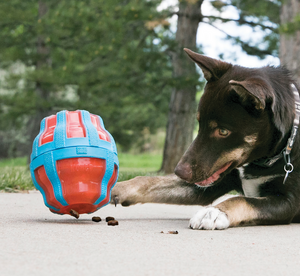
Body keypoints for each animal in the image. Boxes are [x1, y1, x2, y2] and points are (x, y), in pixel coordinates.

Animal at [110, 48, 300, 230]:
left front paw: (214, 212)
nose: (180, 172)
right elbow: (147, 180)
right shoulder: (213, 182)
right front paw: (113, 188)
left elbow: (241, 200)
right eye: (199, 122)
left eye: (223, 131)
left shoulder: (288, 202)